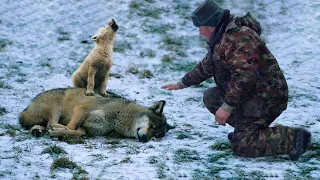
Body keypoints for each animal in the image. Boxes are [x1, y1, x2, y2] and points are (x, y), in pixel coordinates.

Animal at [18, 88, 174, 143]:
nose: (145, 139)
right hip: (56, 109)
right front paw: (58, 132)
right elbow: (71, 127)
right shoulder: (82, 109)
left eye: (156, 135)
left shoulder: (86, 128)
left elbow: (78, 132)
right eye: (151, 125)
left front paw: (60, 133)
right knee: (49, 122)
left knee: (40, 125)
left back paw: (38, 131)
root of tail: (27, 107)